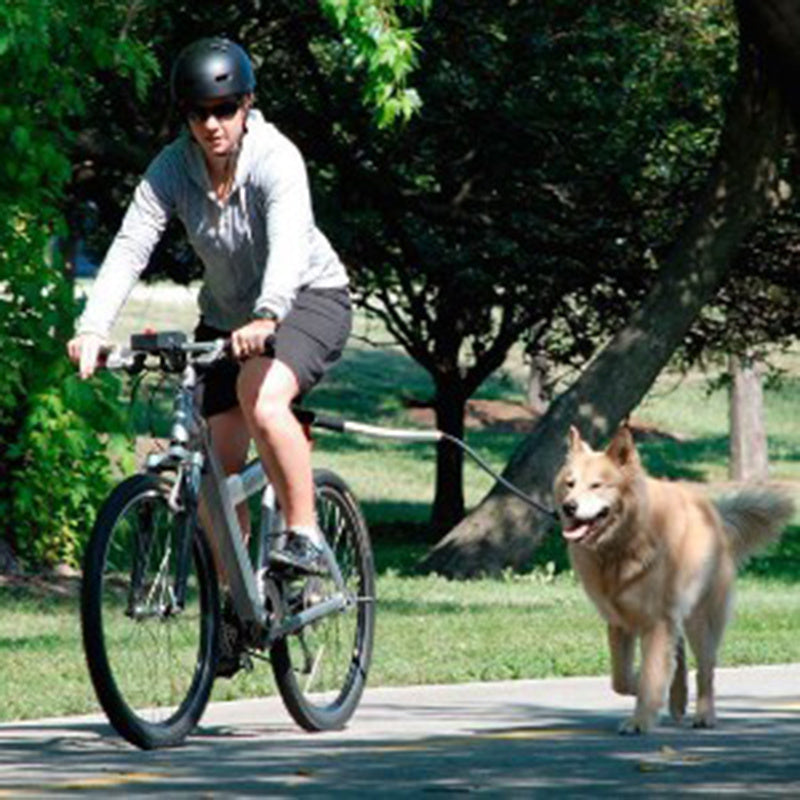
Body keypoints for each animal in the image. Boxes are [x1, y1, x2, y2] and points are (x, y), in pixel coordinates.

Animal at [556, 428, 792, 736]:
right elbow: (621, 679)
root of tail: (717, 516)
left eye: (597, 485)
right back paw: (677, 699)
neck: (623, 544)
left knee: (705, 670)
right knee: (678, 656)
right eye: (570, 484)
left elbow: (652, 674)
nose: (568, 507)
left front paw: (640, 720)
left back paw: (704, 715)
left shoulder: (656, 621)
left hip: (701, 621)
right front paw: (644, 689)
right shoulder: (620, 622)